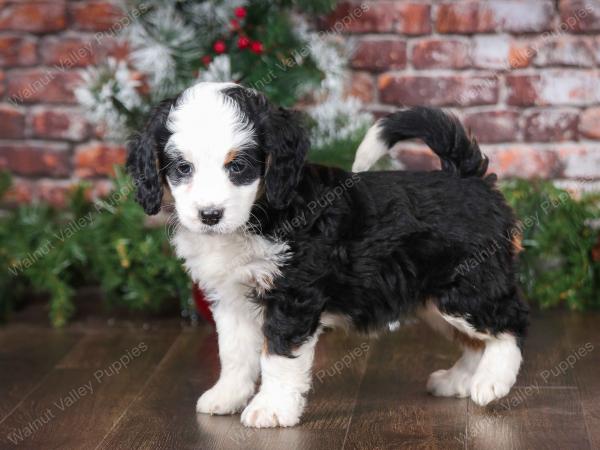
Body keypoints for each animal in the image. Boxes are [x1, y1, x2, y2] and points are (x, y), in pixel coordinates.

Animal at [127, 81, 528, 428]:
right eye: (183, 168)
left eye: (238, 167)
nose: (209, 215)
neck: (261, 214)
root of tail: (468, 179)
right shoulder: (231, 299)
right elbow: (234, 353)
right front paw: (227, 396)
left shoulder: (293, 294)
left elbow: (277, 355)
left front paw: (271, 408)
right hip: (435, 298)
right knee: (477, 340)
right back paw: (459, 380)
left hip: (466, 285)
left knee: (509, 321)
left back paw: (493, 380)